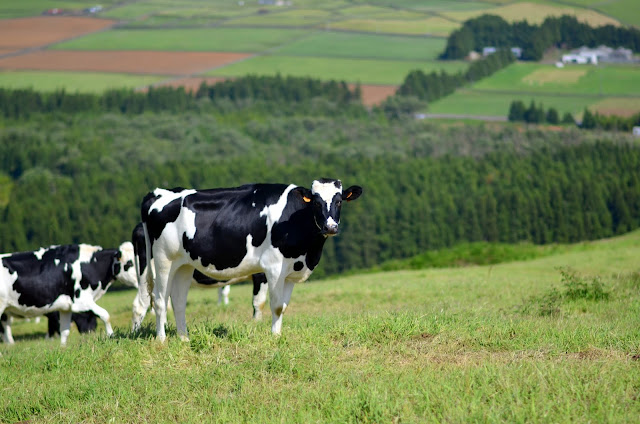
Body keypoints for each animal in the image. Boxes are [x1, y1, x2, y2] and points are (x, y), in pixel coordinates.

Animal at [0, 242, 138, 344]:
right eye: (130, 263)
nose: (140, 279)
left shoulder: (65, 307)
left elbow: (65, 331)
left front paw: (62, 349)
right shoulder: (80, 301)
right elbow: (105, 315)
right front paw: (111, 335)